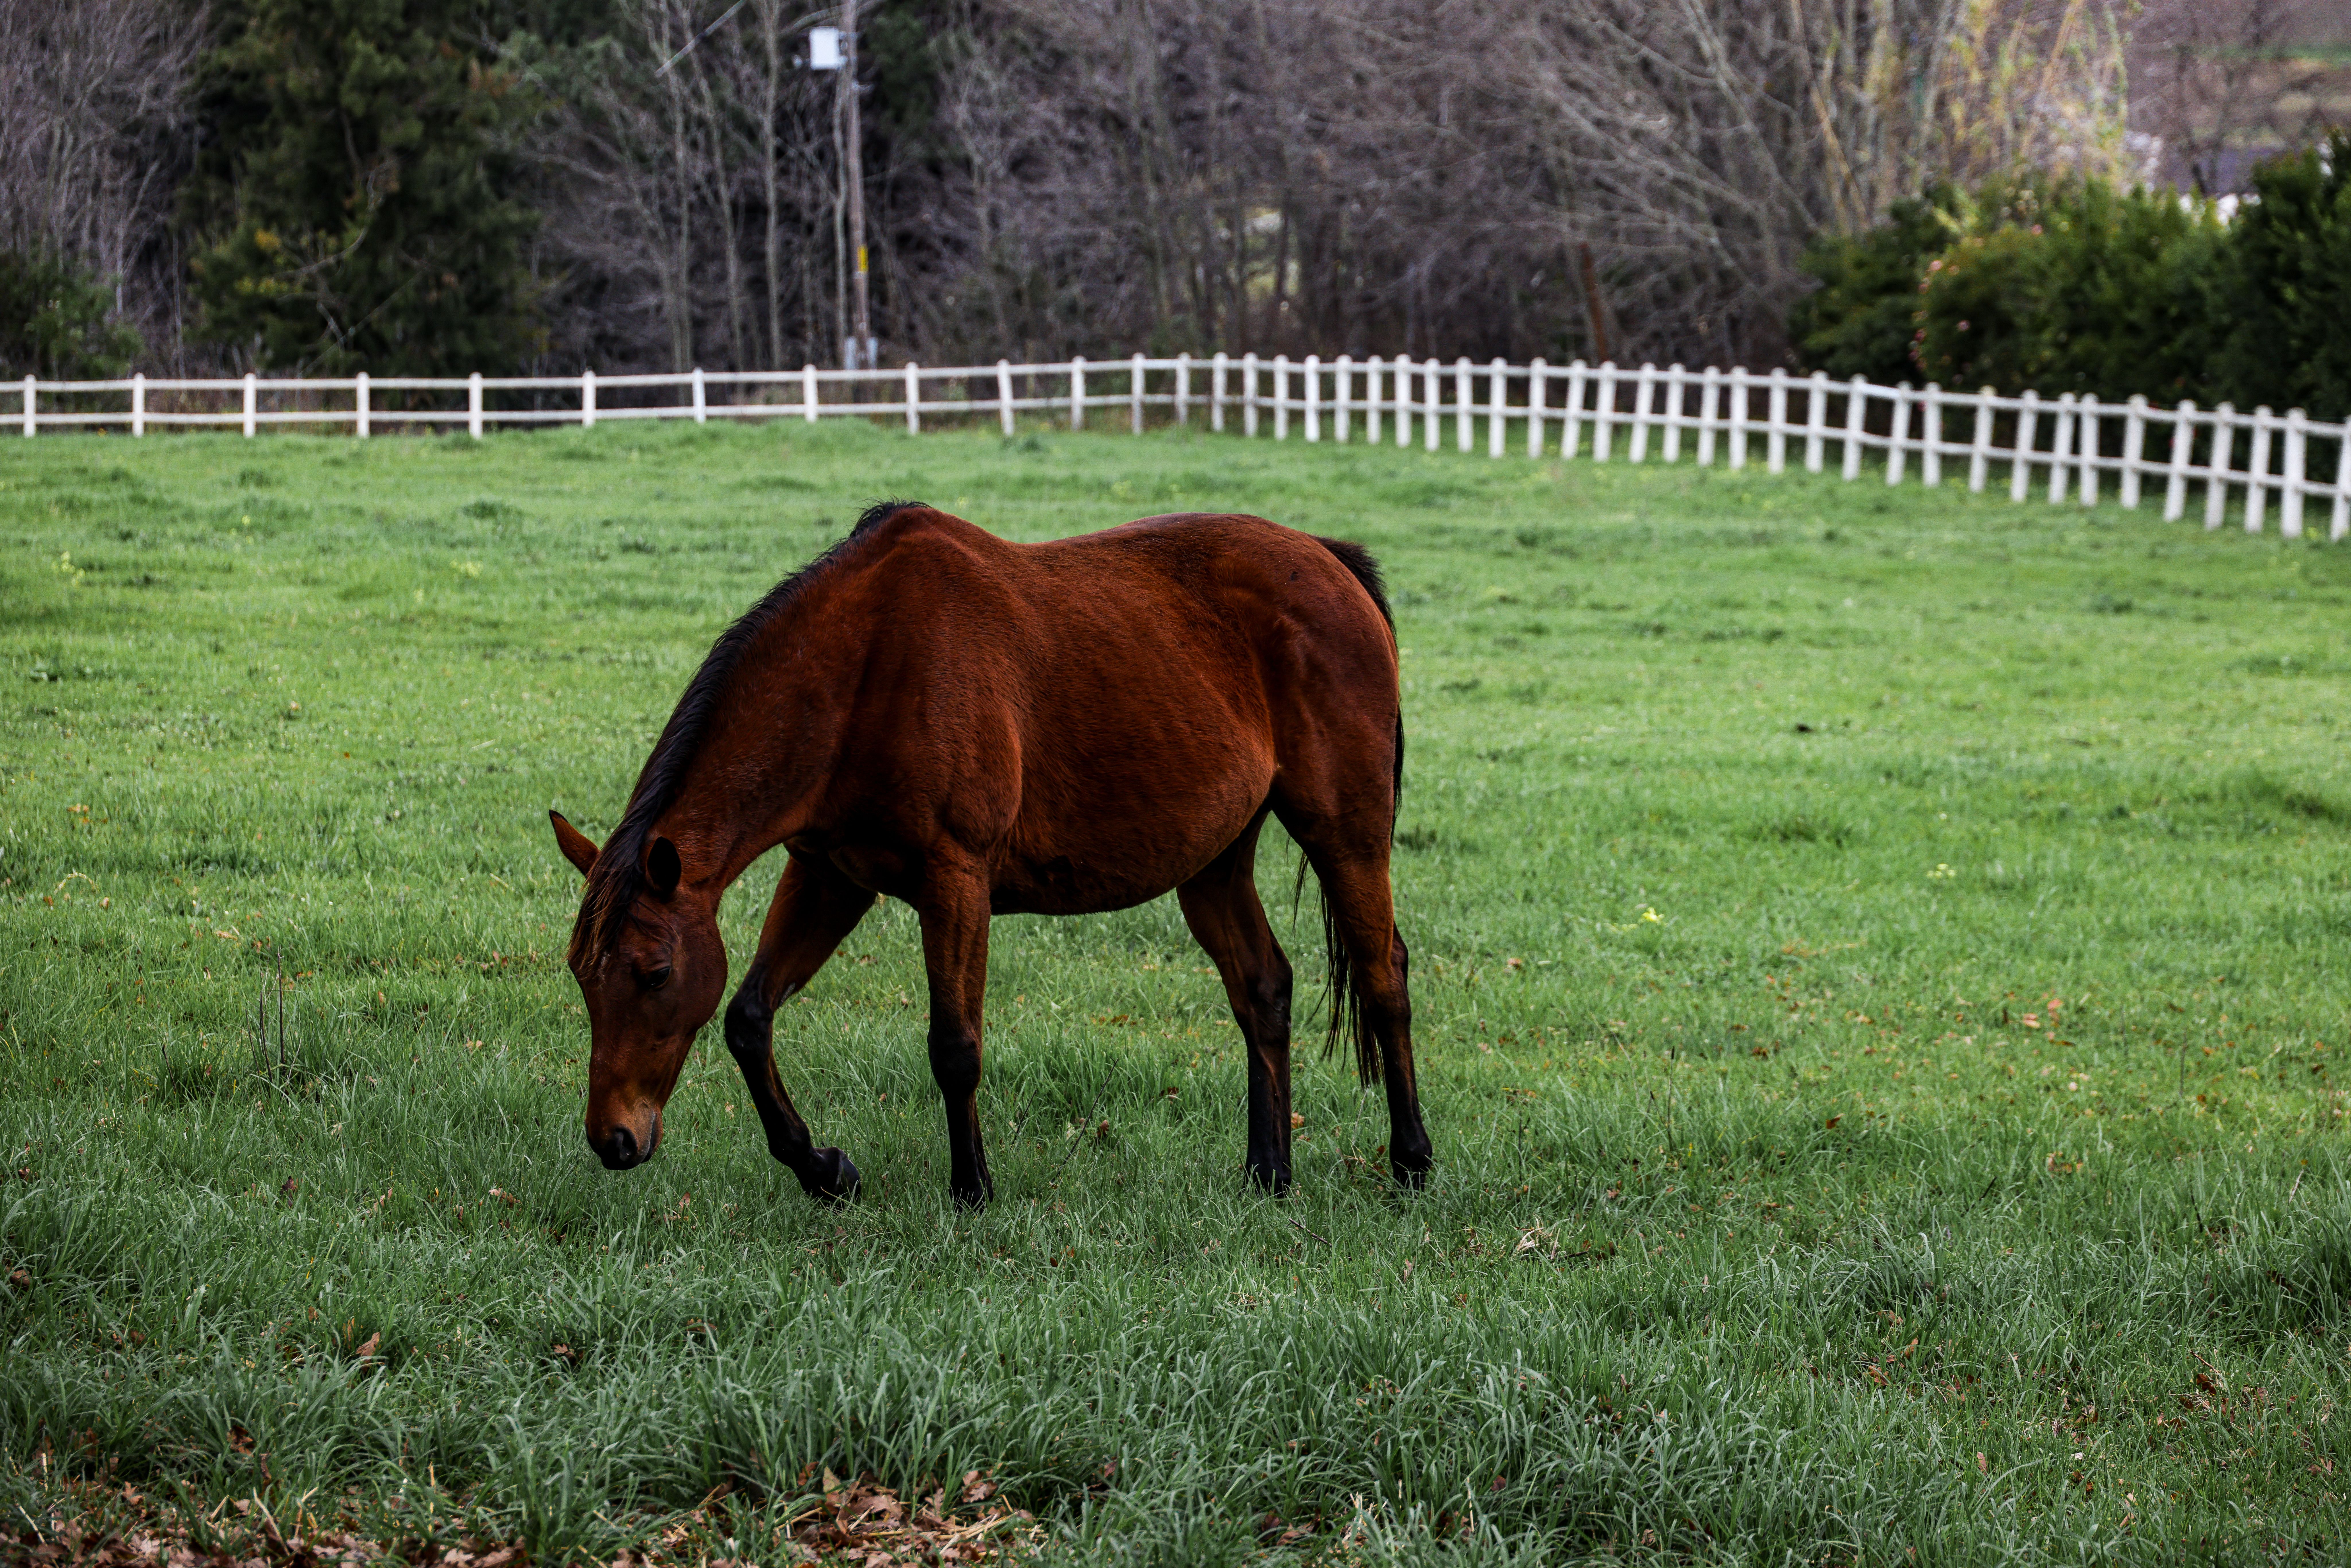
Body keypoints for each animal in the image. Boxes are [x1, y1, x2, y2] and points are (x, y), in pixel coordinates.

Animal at [547, 502, 1429, 1209]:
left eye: (655, 973)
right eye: (584, 975)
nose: (611, 1140)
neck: (864, 668)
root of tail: (1328, 559)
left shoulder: (956, 879)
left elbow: (955, 1046)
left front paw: (972, 1187)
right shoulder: (829, 876)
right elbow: (748, 1019)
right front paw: (824, 1169)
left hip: (1346, 836)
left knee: (1383, 976)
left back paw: (1412, 1162)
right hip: (1213, 863)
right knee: (1263, 988)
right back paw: (1268, 1173)